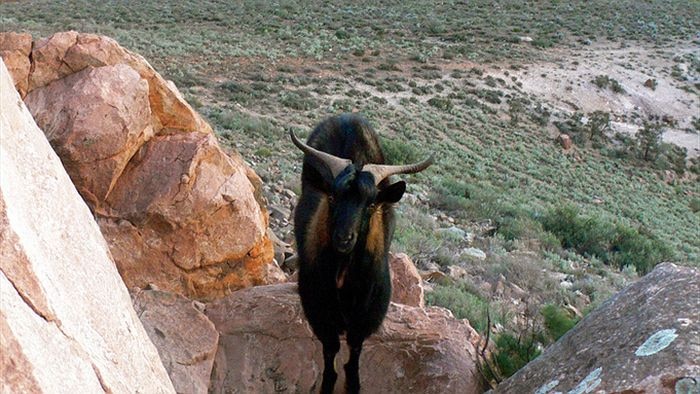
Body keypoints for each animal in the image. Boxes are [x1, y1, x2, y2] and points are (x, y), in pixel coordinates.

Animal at [290, 112, 432, 392]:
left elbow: (353, 356)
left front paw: (353, 383)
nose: (343, 238)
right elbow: (331, 355)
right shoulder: (320, 311)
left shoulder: (366, 316)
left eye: (371, 204)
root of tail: (347, 118)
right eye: (332, 197)